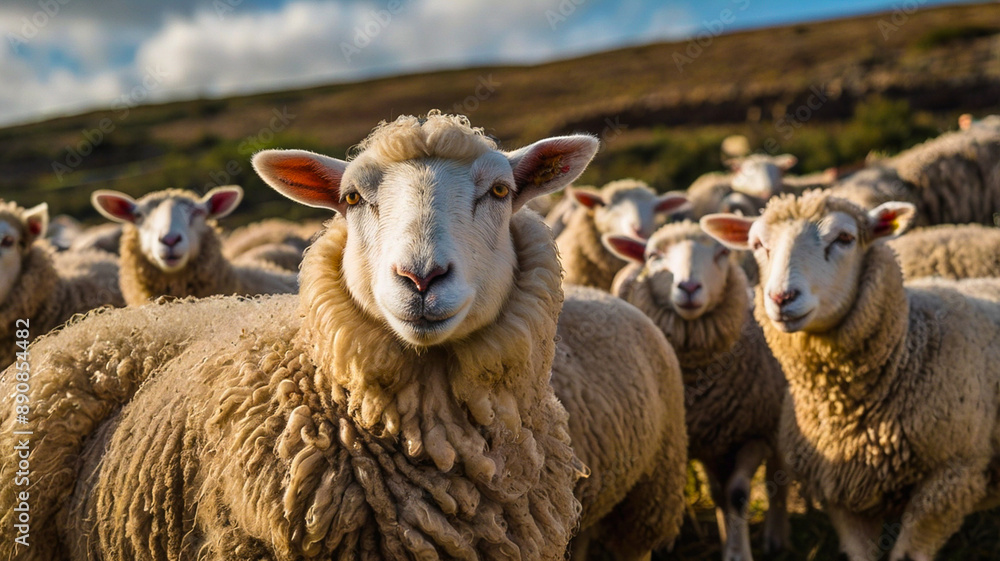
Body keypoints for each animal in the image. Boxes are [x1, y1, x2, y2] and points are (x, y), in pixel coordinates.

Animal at [603, 221, 789, 561]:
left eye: (722, 252)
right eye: (653, 255)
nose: (689, 287)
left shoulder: (754, 433)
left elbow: (738, 494)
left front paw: (738, 553)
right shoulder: (693, 439)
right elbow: (714, 493)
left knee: (778, 473)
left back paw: (776, 536)